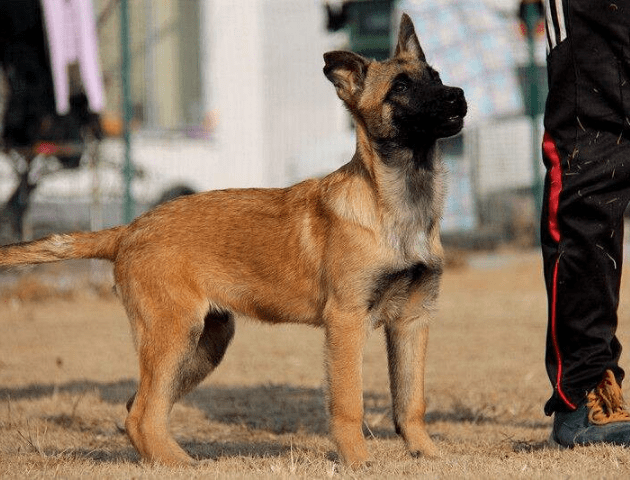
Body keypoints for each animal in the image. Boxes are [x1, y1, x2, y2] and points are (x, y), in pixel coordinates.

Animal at [0, 14, 466, 464]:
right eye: (400, 87)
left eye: (436, 76)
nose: (457, 96)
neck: (397, 204)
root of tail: (129, 229)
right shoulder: (347, 321)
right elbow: (348, 403)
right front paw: (358, 461)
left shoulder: (412, 320)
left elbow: (410, 401)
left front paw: (426, 454)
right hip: (173, 335)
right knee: (142, 412)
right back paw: (182, 466)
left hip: (205, 343)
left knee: (140, 409)